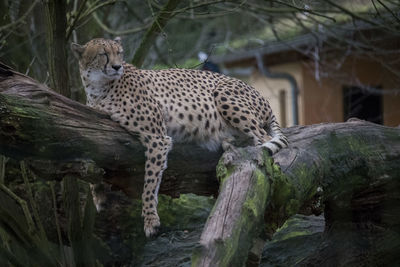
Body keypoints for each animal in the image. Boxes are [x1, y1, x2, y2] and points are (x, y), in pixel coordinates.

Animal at [71, 37, 288, 237]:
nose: (117, 66)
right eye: (103, 54)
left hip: (224, 95)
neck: (98, 88)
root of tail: (261, 95)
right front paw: (99, 196)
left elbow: (149, 183)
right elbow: (92, 159)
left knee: (264, 140)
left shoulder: (157, 138)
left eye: (119, 53)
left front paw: (150, 220)